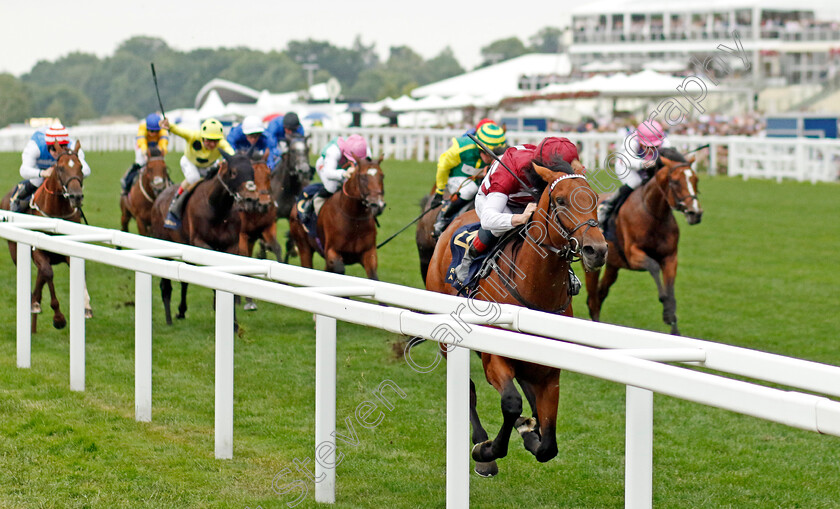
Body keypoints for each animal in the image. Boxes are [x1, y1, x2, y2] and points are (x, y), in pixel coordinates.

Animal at [0, 140, 92, 330]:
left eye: (80, 167)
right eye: (60, 168)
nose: (76, 196)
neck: (57, 213)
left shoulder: (68, 249)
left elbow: (78, 271)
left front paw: (86, 306)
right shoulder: (39, 250)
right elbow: (48, 273)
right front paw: (58, 317)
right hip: (15, 250)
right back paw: (33, 302)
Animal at [151, 152, 260, 326]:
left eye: (252, 171)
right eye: (233, 172)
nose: (252, 200)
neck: (217, 209)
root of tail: (158, 199)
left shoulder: (231, 245)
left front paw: (232, 321)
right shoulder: (200, 243)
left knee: (185, 281)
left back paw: (181, 311)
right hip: (164, 247)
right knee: (165, 285)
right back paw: (168, 319)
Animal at [426, 160, 604, 476]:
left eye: (595, 200)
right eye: (560, 200)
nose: (597, 250)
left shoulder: (549, 370)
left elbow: (548, 444)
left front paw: (532, 434)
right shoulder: (494, 356)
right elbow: (510, 403)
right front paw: (487, 450)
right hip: (448, 341)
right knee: (469, 390)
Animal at [588, 149, 704, 336]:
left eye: (695, 179)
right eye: (675, 181)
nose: (696, 213)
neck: (653, 215)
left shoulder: (670, 257)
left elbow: (670, 291)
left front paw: (674, 326)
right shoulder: (633, 255)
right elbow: (654, 267)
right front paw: (665, 310)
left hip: (613, 265)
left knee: (600, 293)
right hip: (592, 265)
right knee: (592, 298)